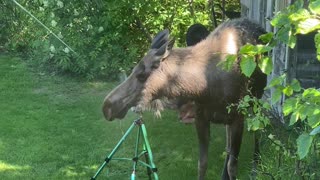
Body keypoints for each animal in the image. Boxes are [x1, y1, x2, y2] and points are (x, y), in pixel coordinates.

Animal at [103, 18, 268, 180]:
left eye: (142, 75)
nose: (107, 106)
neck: (204, 88)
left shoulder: (238, 117)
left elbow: (233, 166)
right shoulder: (201, 118)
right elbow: (202, 164)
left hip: (257, 100)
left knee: (258, 131)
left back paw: (256, 165)